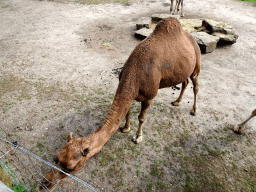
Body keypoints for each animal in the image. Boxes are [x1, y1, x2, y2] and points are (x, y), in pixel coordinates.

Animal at [40, 17, 201, 190]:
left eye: (69, 168)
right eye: (56, 158)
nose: (44, 184)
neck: (135, 73)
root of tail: (192, 38)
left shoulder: (149, 96)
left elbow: (141, 118)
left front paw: (137, 137)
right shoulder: (130, 93)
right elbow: (127, 113)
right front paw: (125, 128)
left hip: (197, 63)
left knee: (195, 85)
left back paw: (194, 110)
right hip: (183, 69)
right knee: (184, 82)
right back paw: (176, 102)